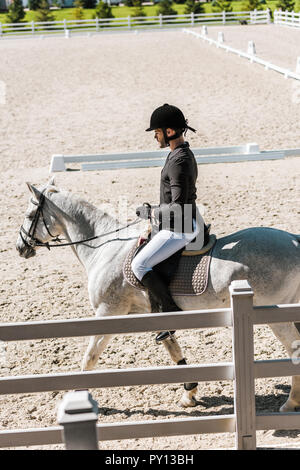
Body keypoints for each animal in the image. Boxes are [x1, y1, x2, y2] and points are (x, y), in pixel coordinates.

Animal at [15, 180, 300, 412]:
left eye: (30, 214)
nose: (20, 247)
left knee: (295, 348)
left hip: (275, 315)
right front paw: (190, 392)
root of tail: (294, 240)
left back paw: (290, 403)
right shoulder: (154, 313)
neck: (105, 249)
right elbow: (173, 349)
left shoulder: (108, 311)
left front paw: (77, 397)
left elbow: (90, 356)